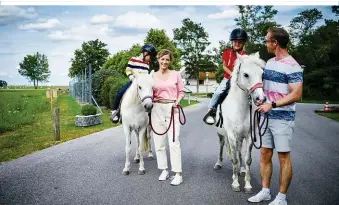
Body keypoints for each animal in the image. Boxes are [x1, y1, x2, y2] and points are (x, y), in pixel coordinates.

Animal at [214, 52, 266, 193]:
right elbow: (235, 160)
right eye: (246, 74)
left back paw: (241, 170)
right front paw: (236, 183)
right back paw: (219, 163)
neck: (240, 107)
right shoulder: (231, 135)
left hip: (240, 137)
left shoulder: (248, 136)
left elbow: (247, 159)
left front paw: (247, 185)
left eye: (262, 74)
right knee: (222, 146)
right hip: (221, 135)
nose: (261, 99)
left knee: (238, 150)